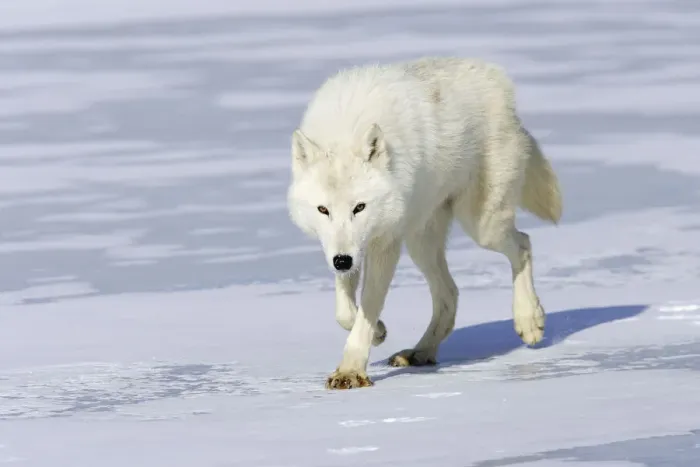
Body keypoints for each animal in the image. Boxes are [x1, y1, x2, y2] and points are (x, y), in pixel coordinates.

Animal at [286, 57, 562, 390]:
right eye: (323, 210)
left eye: (359, 207)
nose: (342, 261)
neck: (345, 131)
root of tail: (497, 79)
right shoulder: (346, 248)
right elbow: (346, 311)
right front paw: (378, 331)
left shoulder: (385, 243)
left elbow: (367, 307)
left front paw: (351, 370)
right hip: (421, 243)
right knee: (450, 294)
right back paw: (420, 352)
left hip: (482, 227)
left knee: (523, 243)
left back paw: (529, 320)